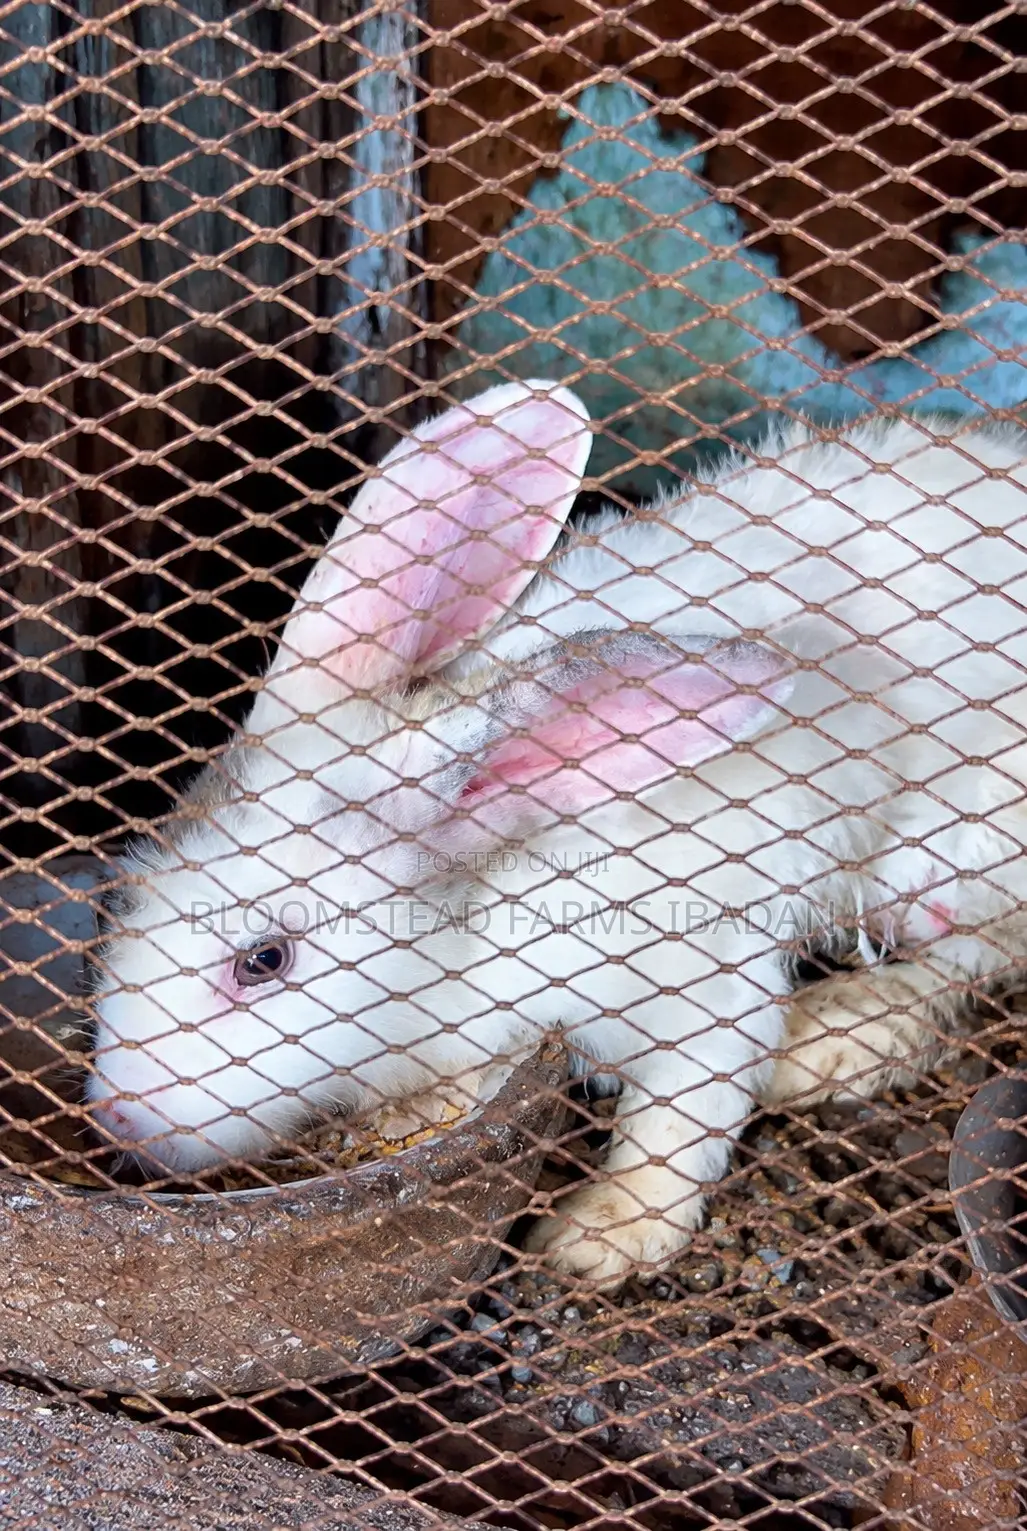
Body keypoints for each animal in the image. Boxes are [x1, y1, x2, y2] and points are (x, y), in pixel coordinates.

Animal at [87, 377, 1027, 1287]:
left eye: (264, 960)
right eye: (119, 898)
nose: (118, 1115)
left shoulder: (699, 974)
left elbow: (684, 1113)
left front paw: (598, 1239)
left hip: (940, 865)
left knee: (966, 959)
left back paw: (832, 1040)